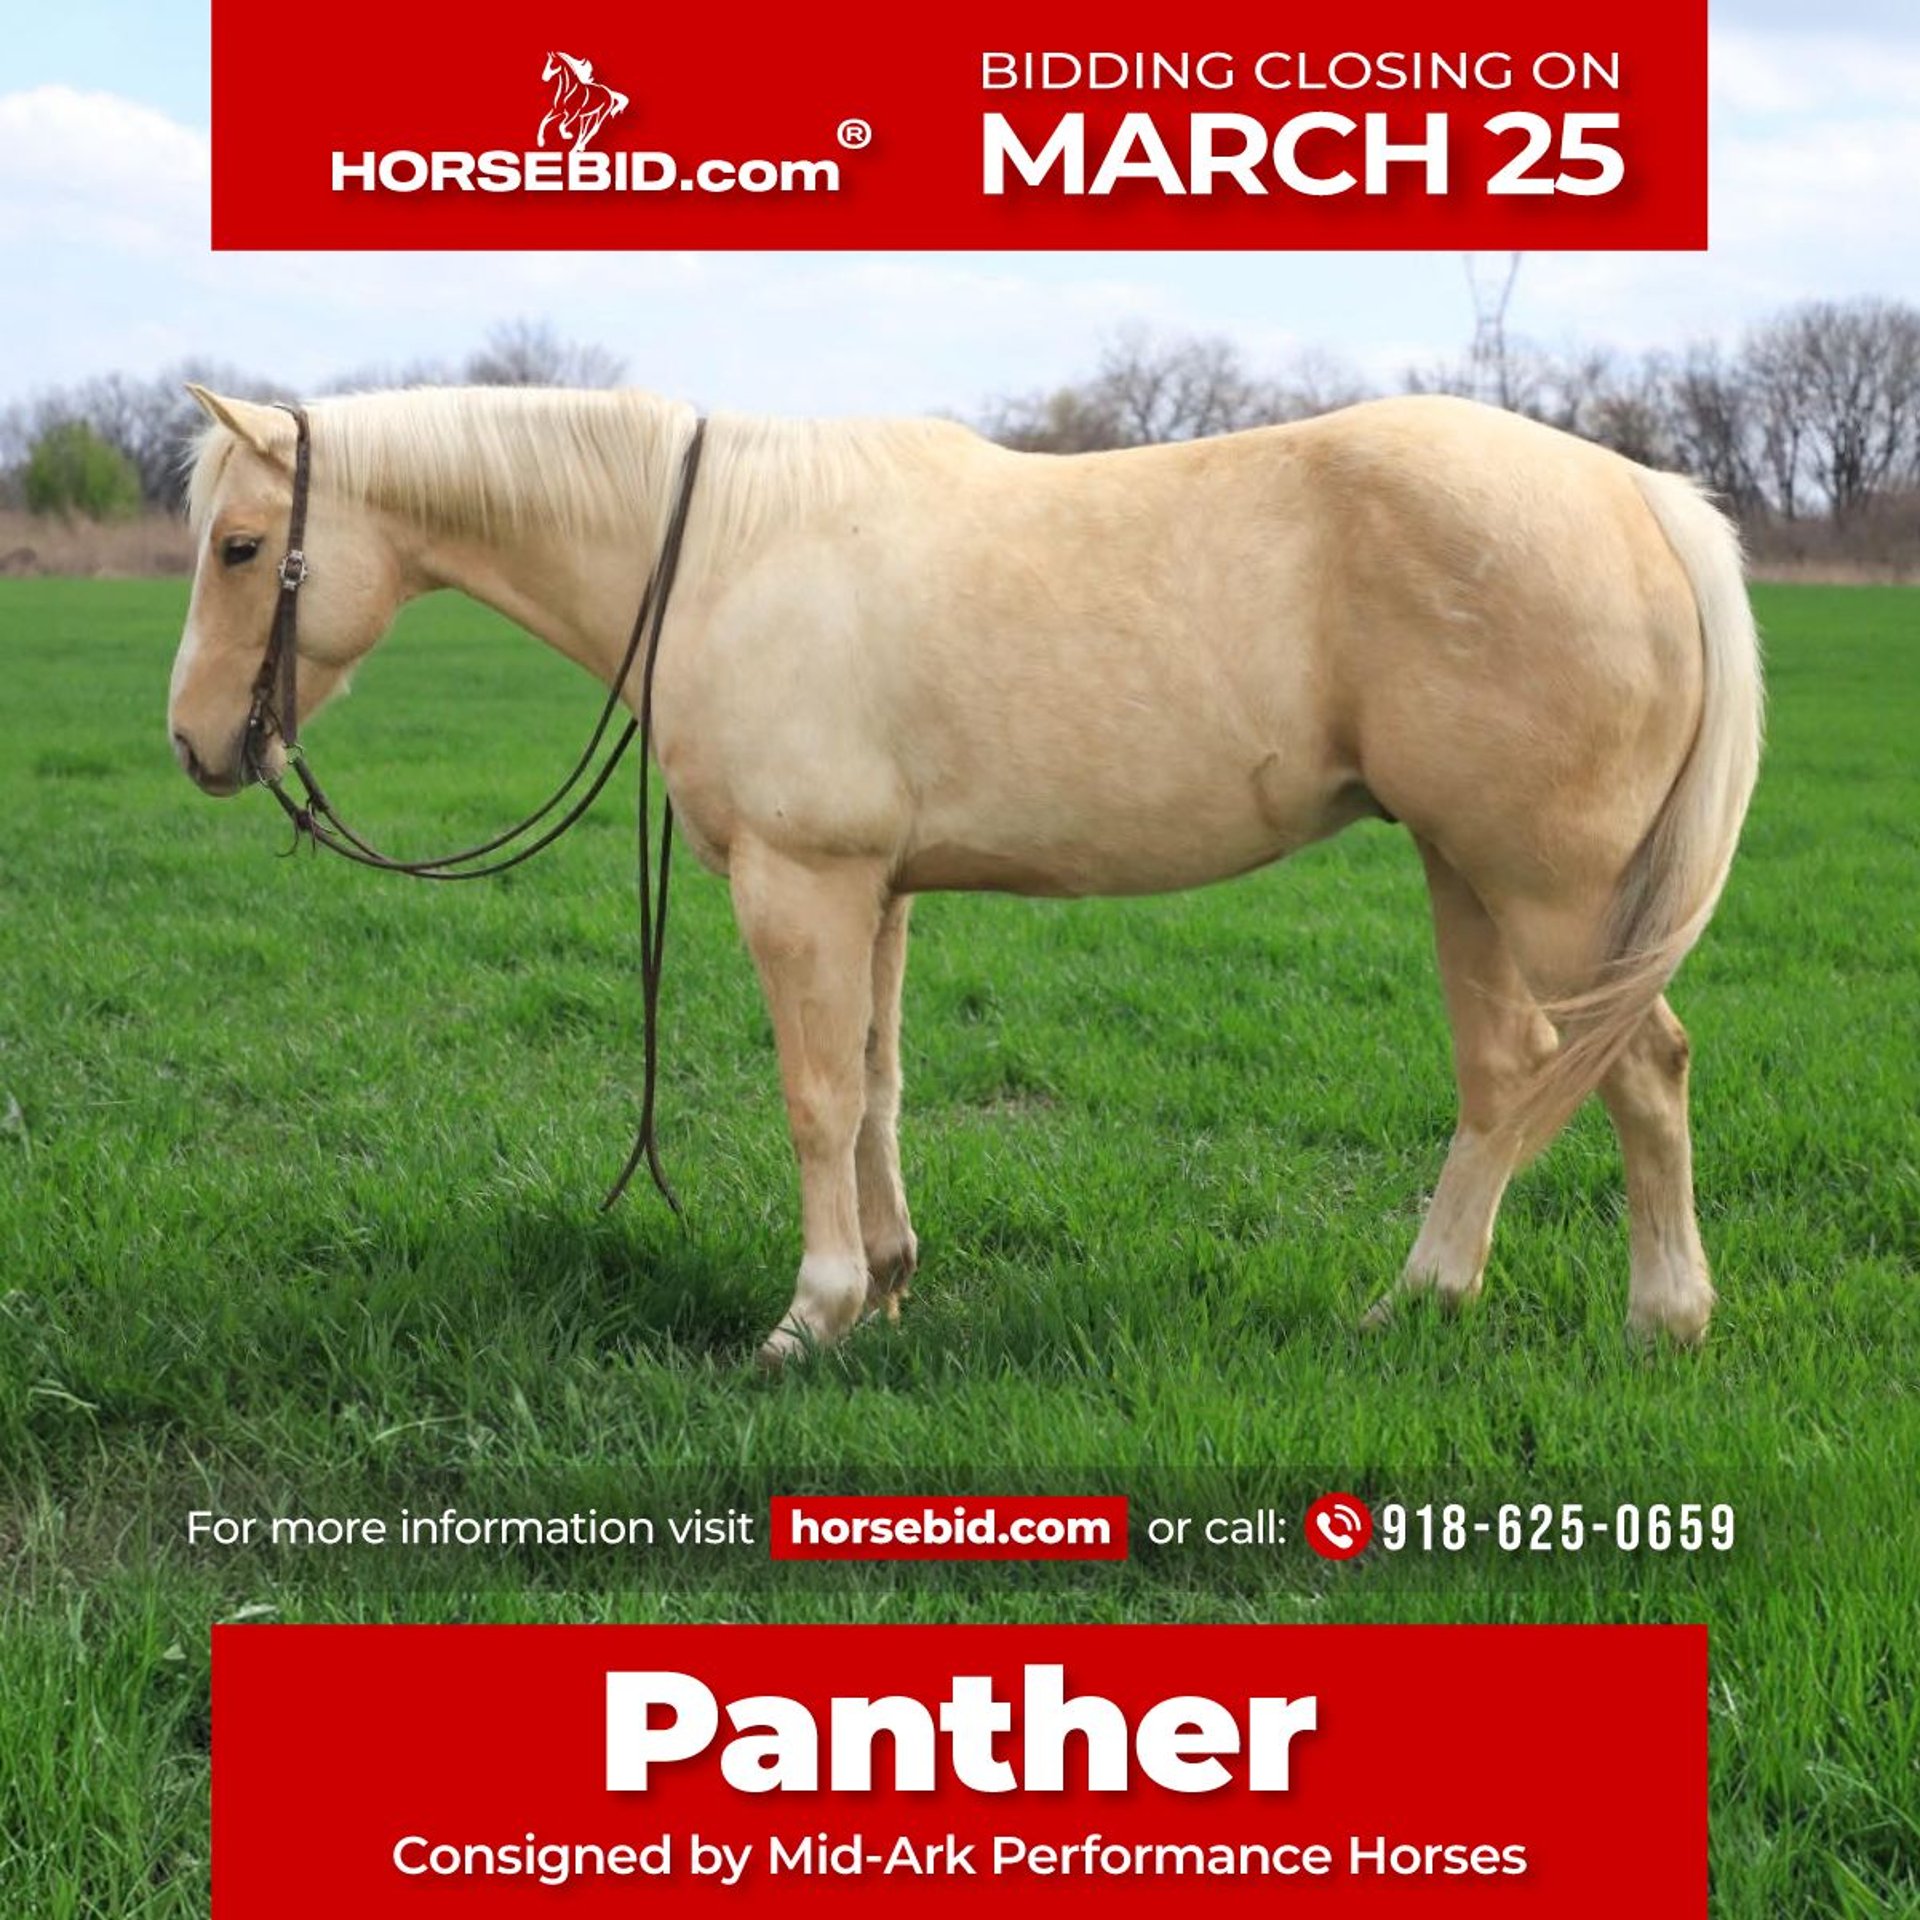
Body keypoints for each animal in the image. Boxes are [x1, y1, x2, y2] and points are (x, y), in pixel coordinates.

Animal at [169, 381, 1762, 1367]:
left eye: (243, 546)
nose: (195, 744)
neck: (726, 550)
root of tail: (1644, 498)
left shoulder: (799, 885)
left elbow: (814, 1099)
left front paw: (809, 1318)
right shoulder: (876, 890)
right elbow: (876, 1087)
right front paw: (884, 1286)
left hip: (1556, 891)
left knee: (1642, 1069)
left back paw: (1663, 1321)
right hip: (1464, 873)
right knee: (1508, 1080)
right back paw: (1422, 1303)